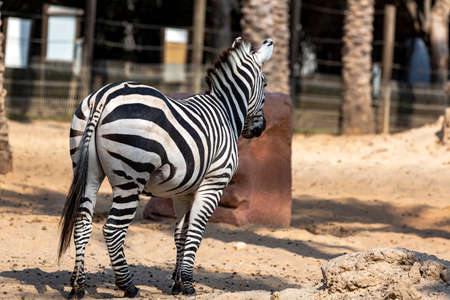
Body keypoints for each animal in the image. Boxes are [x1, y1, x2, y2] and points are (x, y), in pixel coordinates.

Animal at [58, 37, 272, 298]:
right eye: (265, 82)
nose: (260, 129)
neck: (226, 111)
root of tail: (104, 95)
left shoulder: (183, 192)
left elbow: (180, 235)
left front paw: (177, 283)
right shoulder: (213, 184)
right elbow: (195, 233)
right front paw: (188, 284)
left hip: (88, 171)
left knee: (82, 224)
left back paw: (78, 285)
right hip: (131, 177)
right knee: (113, 230)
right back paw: (128, 286)